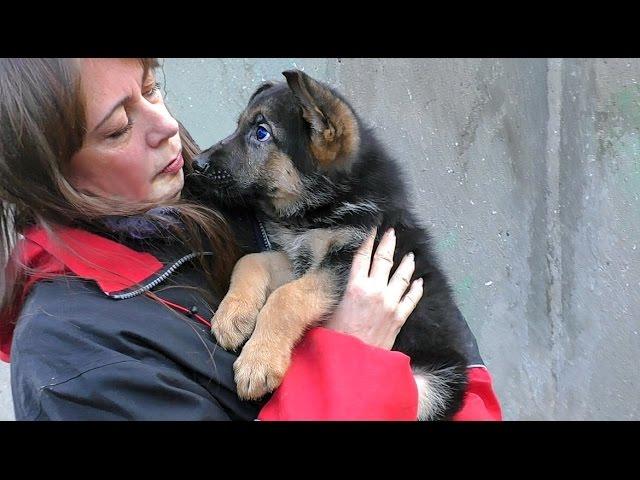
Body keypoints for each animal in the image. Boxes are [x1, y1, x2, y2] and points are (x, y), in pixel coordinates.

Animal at [192, 69, 468, 418]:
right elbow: (252, 260)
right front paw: (234, 314)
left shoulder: (342, 262)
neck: (327, 206)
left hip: (433, 387)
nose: (197, 164)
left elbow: (286, 298)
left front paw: (258, 362)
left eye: (261, 133)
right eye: (240, 126)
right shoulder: (300, 257)